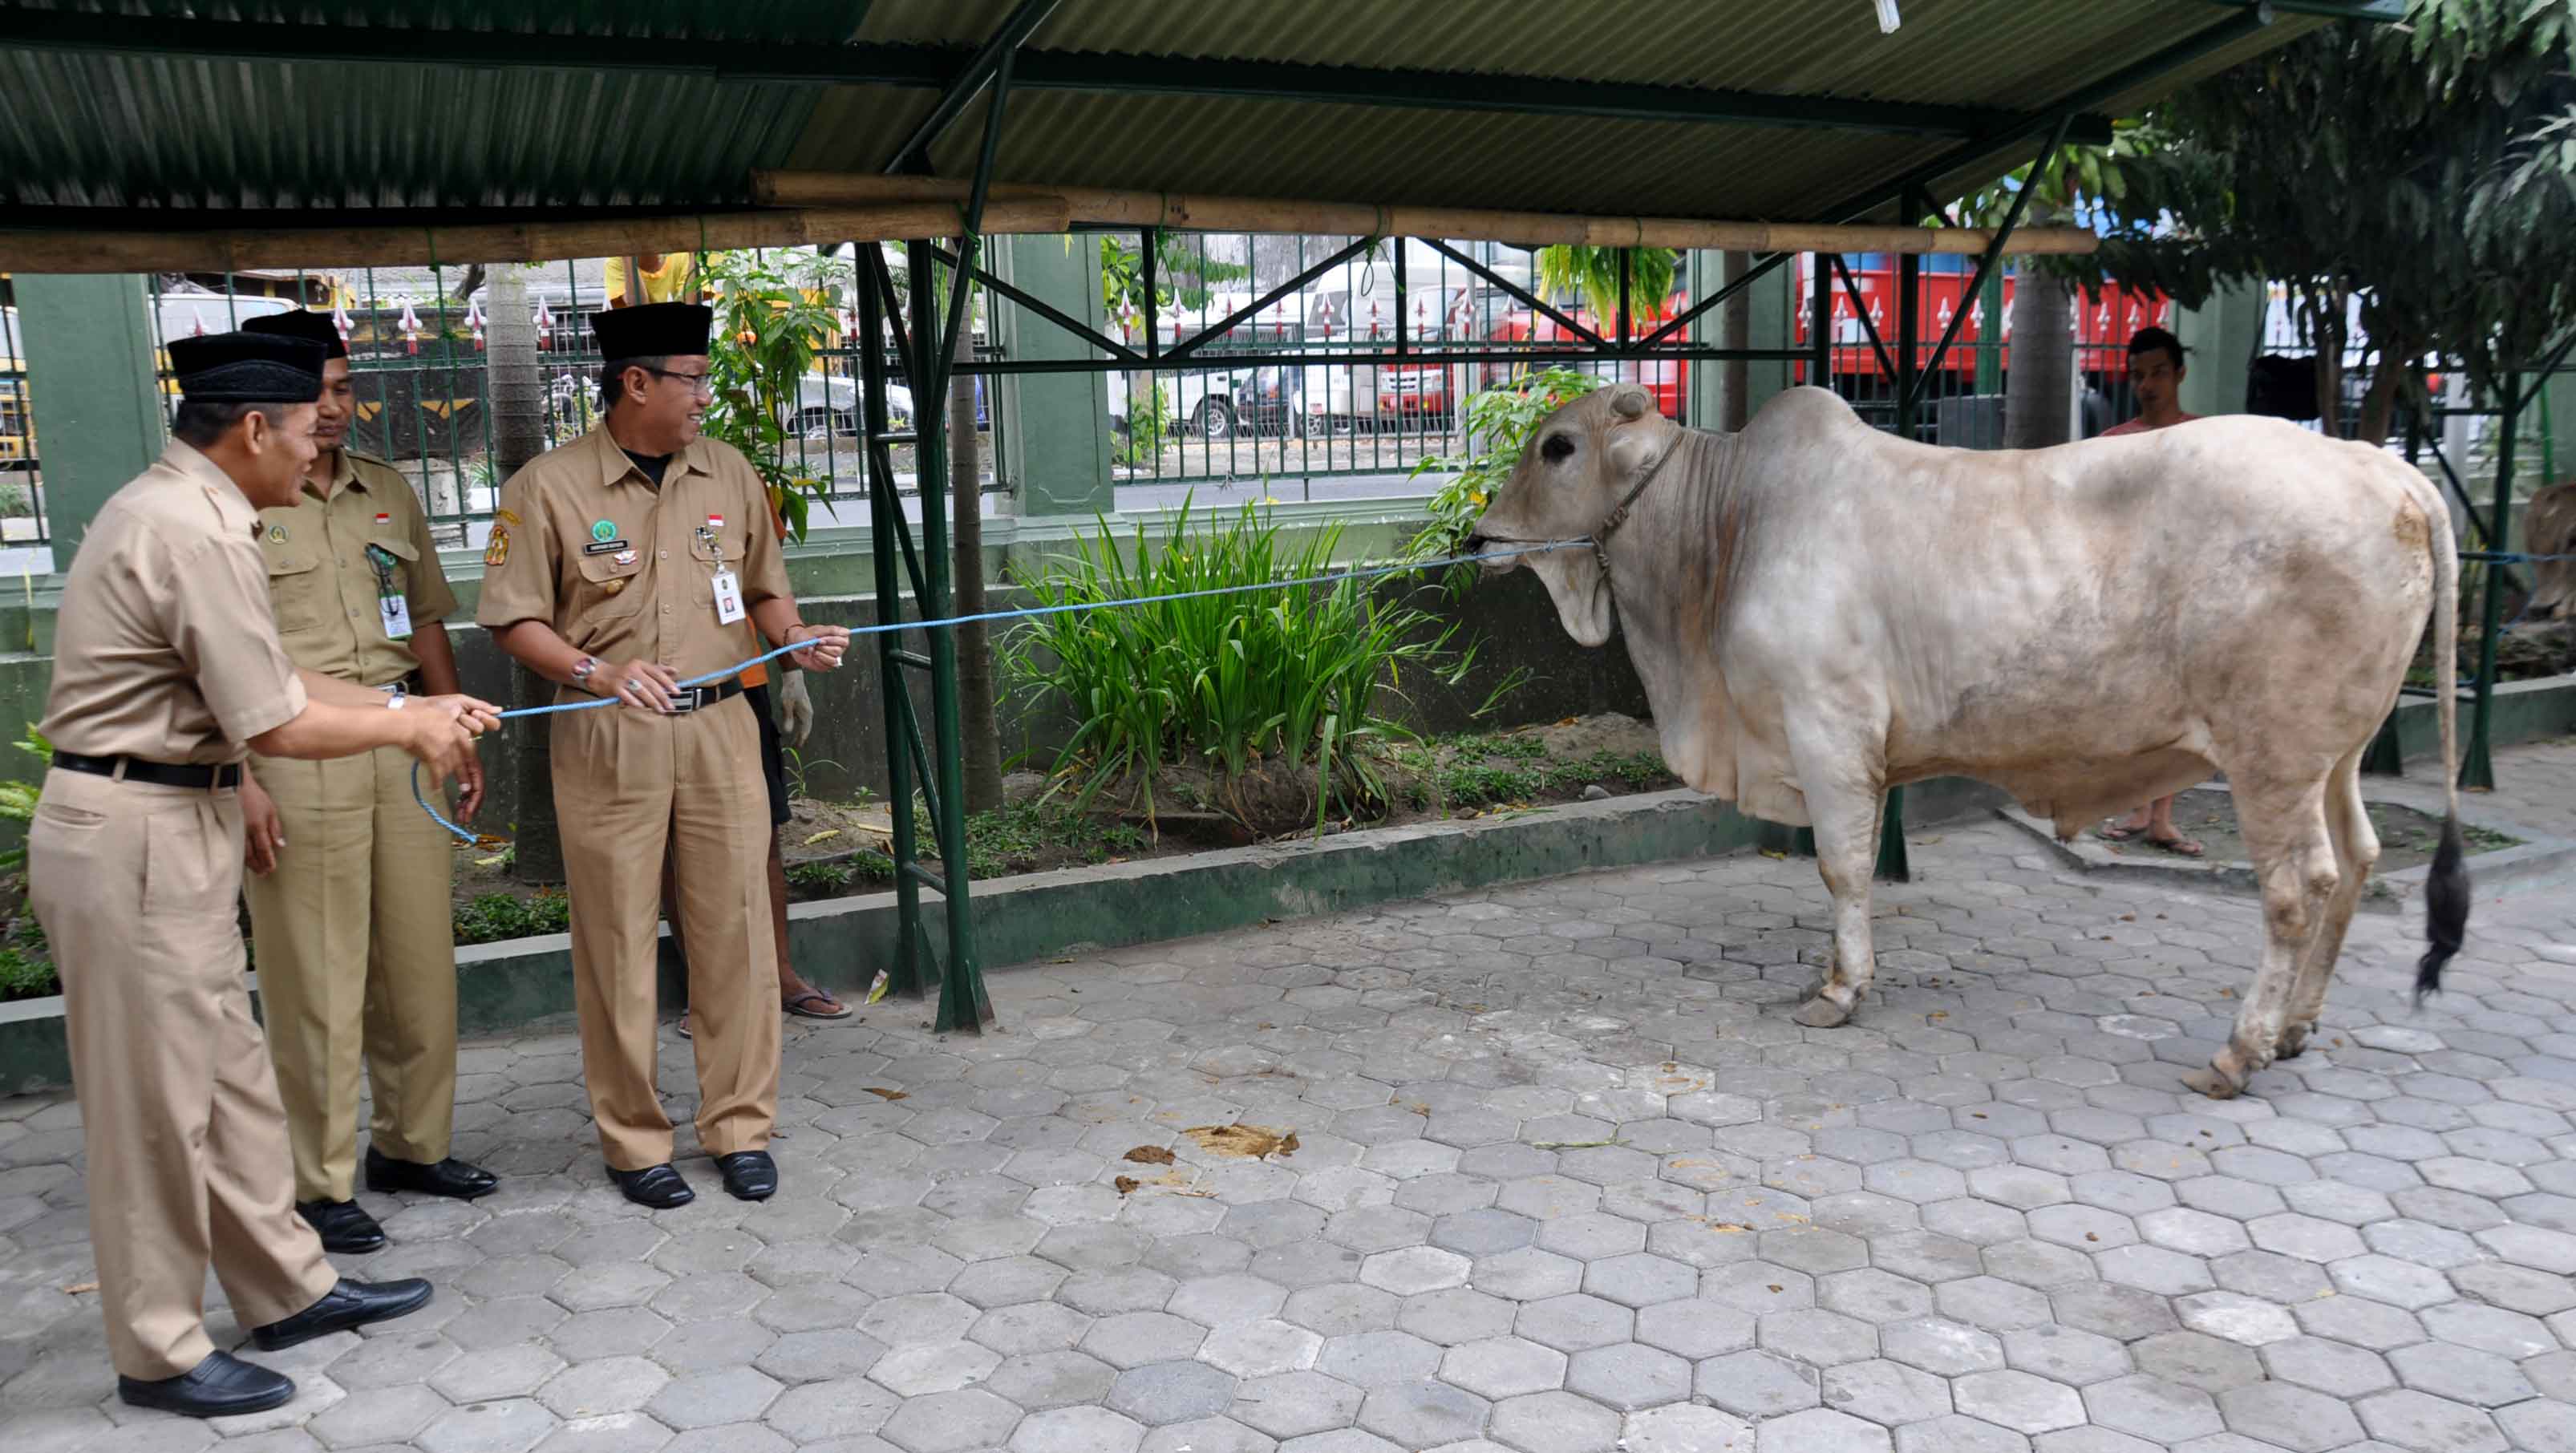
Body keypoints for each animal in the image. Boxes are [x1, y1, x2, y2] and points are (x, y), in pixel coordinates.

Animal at [1463, 381, 2462, 1097]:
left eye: (1557, 446)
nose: (1476, 538)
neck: (1725, 527)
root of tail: (2380, 467)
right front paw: (1833, 973)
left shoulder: (1827, 731)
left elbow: (1841, 868)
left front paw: (1839, 992)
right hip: (2336, 753)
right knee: (2358, 858)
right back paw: (2293, 1030)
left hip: (2269, 759)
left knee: (2300, 888)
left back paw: (2239, 1051)